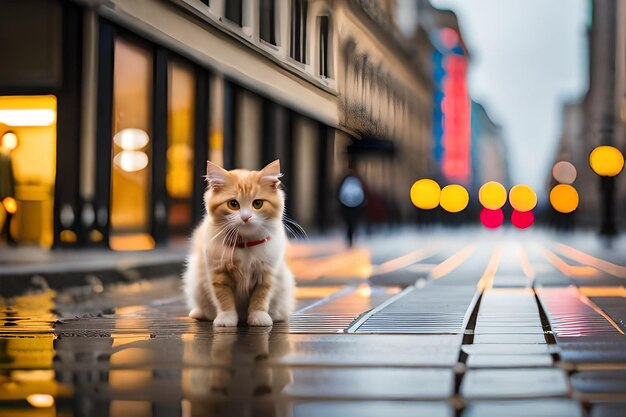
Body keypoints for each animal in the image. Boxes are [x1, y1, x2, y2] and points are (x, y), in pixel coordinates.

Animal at [182, 159, 294, 324]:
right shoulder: (219, 273)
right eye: (233, 204)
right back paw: (199, 313)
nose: (246, 217)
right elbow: (224, 300)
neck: (245, 246)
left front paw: (259, 318)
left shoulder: (266, 274)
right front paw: (226, 319)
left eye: (257, 204)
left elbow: (260, 300)